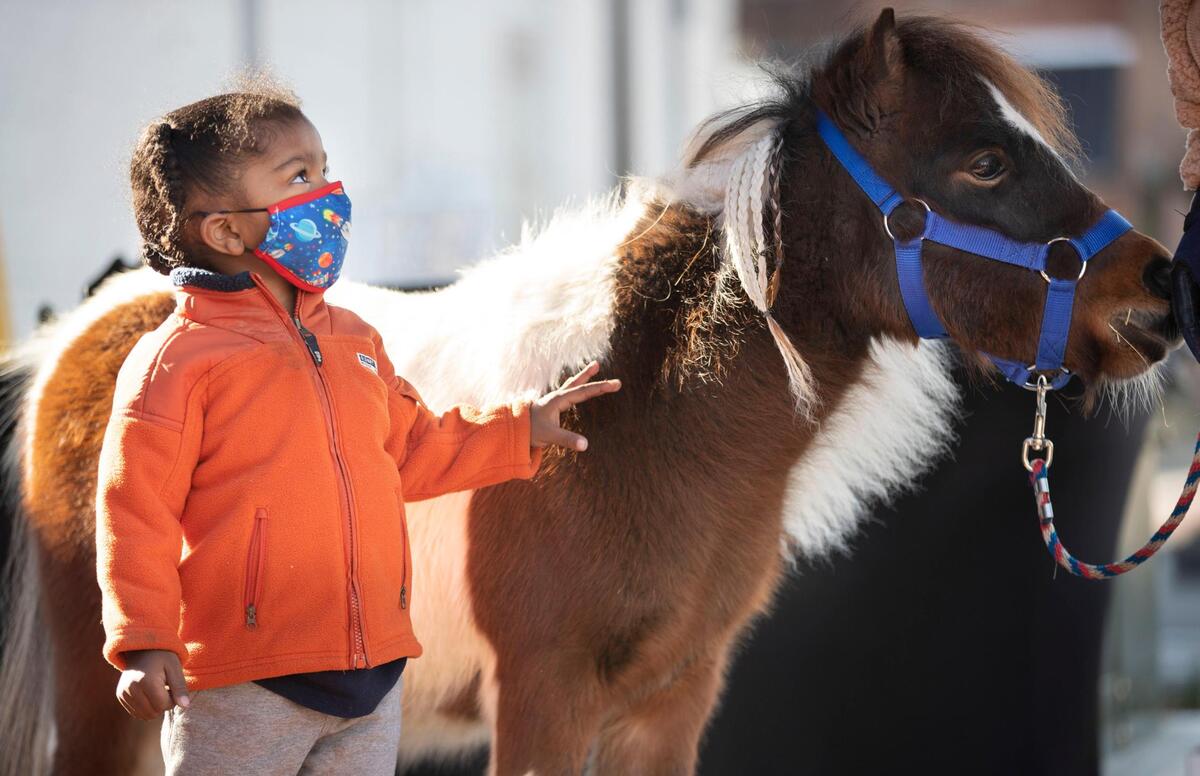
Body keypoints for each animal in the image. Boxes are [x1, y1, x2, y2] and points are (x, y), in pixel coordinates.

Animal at [0, 10, 1178, 775]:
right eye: (983, 162)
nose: (1160, 290)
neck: (642, 425)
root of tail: (82, 332)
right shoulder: (544, 700)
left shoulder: (669, 704)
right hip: (113, 709)